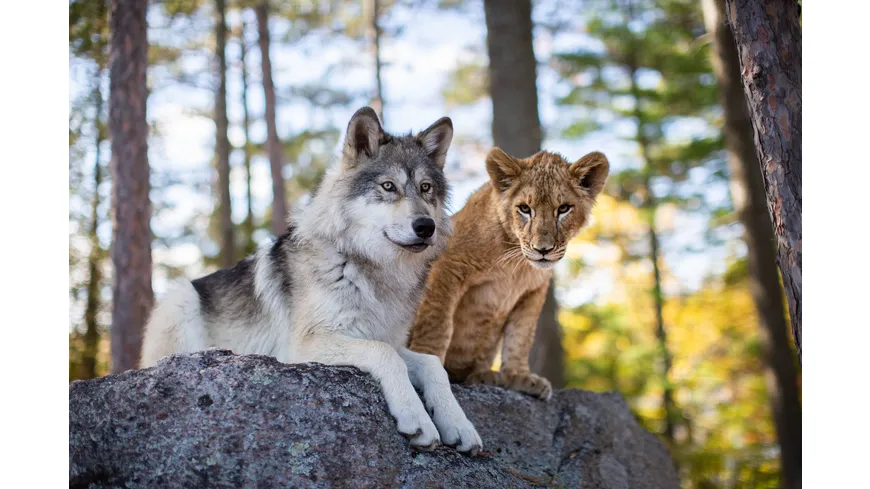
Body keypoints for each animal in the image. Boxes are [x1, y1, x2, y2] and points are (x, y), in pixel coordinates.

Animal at [140, 107, 482, 454]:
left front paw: (459, 425)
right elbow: (384, 355)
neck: (370, 268)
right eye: (388, 186)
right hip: (180, 297)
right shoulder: (304, 347)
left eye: (426, 188)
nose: (426, 227)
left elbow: (432, 364)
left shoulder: (387, 338)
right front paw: (417, 418)